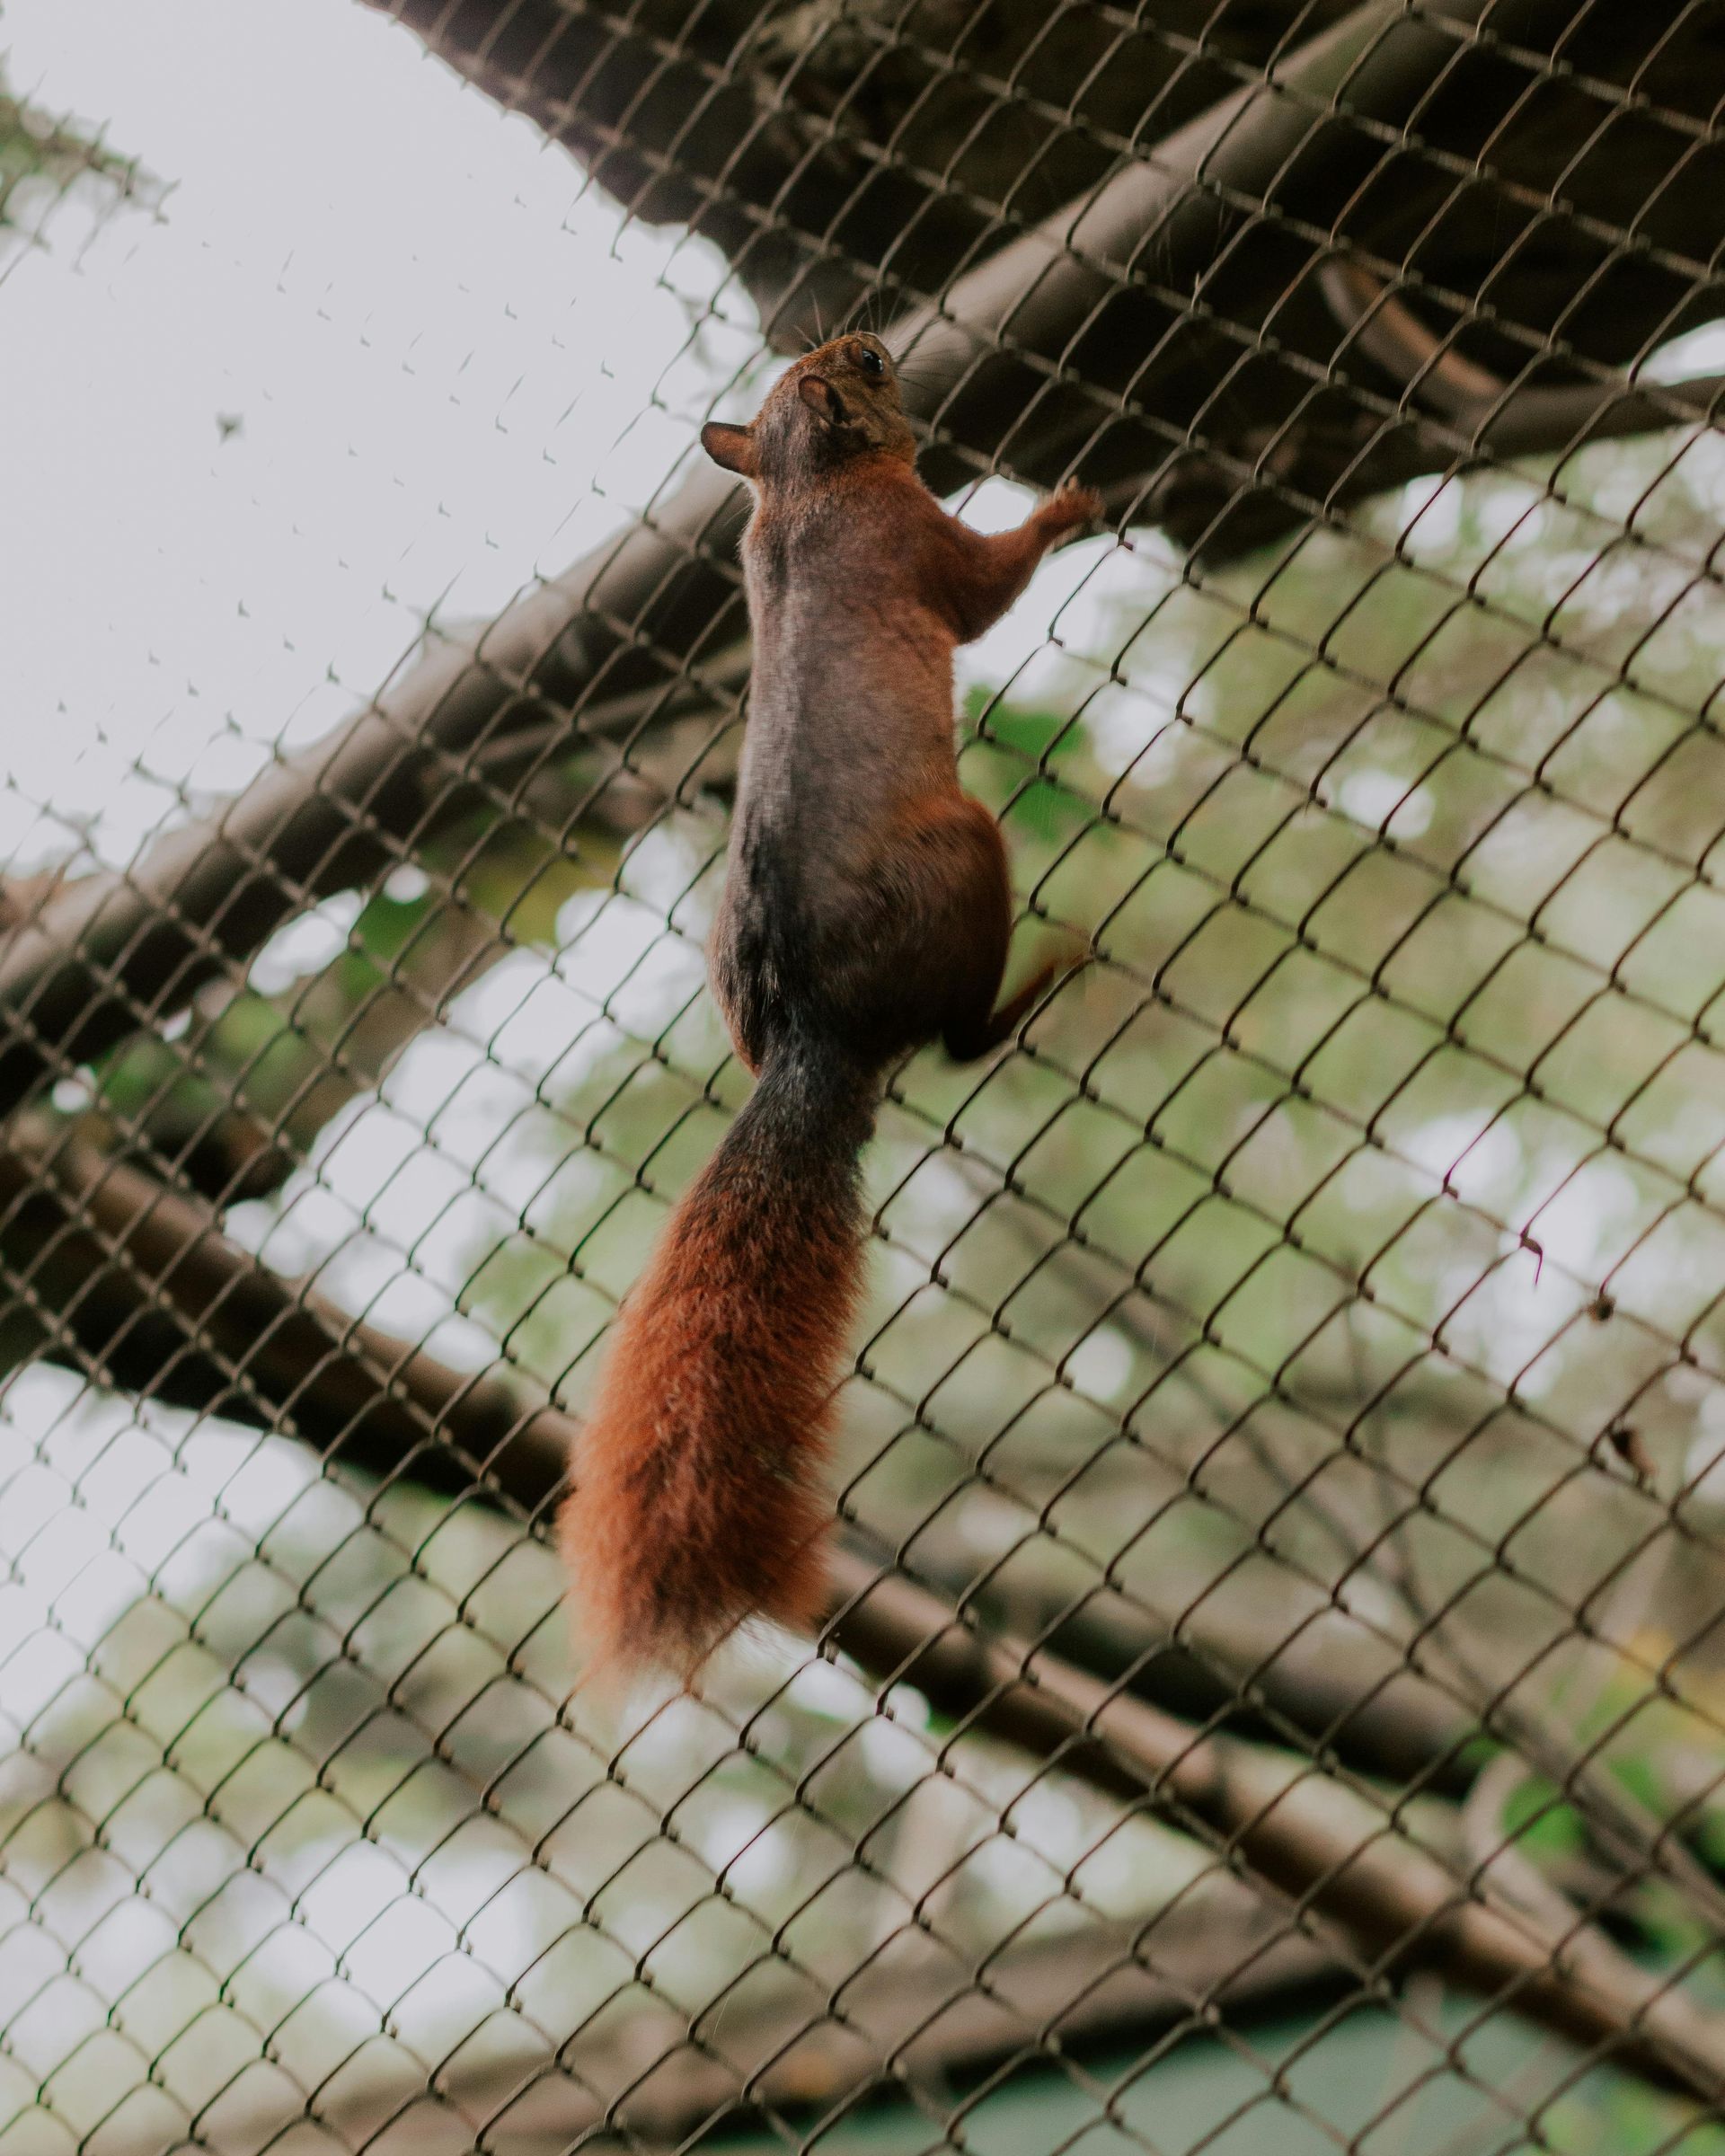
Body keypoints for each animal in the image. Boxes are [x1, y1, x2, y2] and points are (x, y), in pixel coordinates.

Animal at [559, 332, 1104, 1681]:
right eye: (858, 362)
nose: (888, 338)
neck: (803, 489)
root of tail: (813, 1037)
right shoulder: (917, 537)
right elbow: (987, 587)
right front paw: (1070, 506)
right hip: (971, 855)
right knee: (961, 1042)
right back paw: (1050, 975)